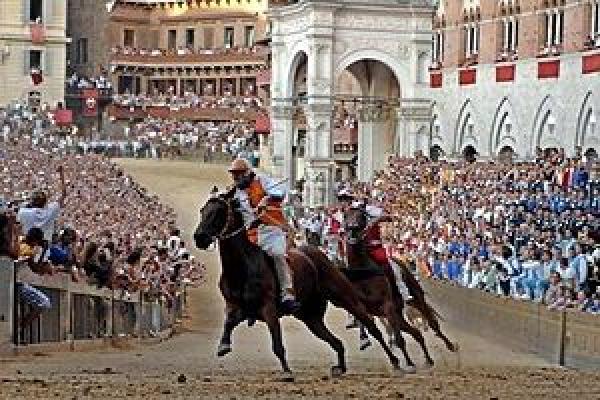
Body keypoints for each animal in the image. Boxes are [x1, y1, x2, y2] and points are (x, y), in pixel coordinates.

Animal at [195, 191, 406, 378]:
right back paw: (340, 367)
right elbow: (229, 321)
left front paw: (287, 371)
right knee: (336, 341)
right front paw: (223, 345)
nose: (199, 237)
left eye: (218, 212)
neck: (242, 267)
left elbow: (277, 342)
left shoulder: (268, 307)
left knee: (372, 327)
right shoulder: (234, 305)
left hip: (345, 297)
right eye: (203, 210)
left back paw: (396, 362)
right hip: (310, 316)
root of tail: (324, 257)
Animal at [344, 208, 458, 370]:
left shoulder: (387, 304)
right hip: (398, 313)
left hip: (415, 297)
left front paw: (408, 363)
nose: (352, 229)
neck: (362, 272)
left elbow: (399, 338)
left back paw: (450, 346)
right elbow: (375, 332)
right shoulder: (365, 308)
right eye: (346, 216)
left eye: (361, 217)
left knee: (431, 323)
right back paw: (428, 360)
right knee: (416, 332)